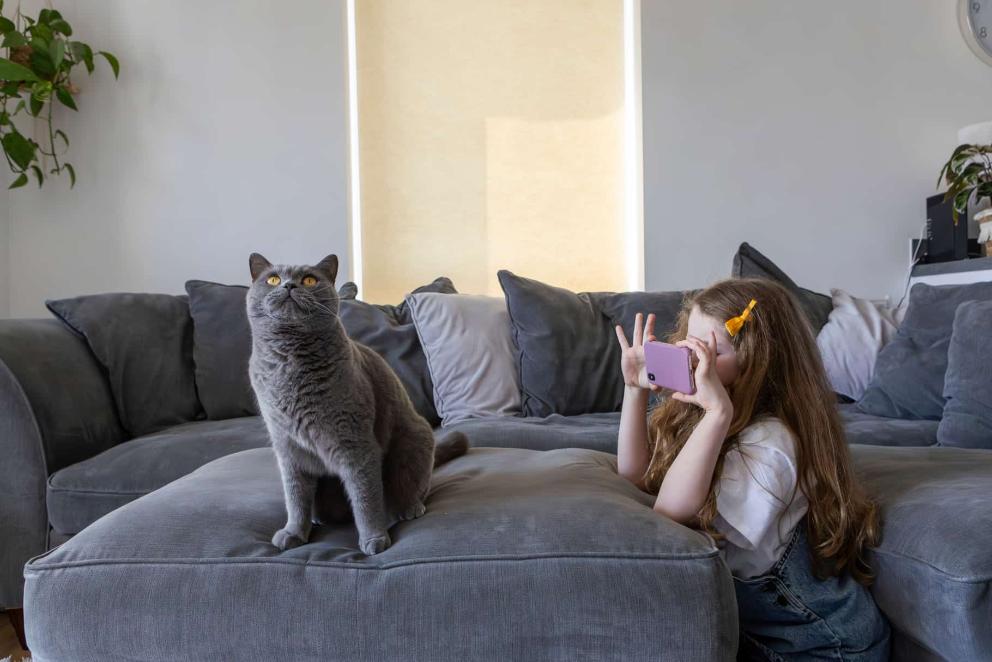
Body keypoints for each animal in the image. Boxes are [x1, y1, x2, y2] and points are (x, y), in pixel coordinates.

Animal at [246, 254, 466, 556]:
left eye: (310, 280)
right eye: (273, 279)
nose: (289, 285)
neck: (289, 367)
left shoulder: (355, 443)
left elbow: (365, 497)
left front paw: (374, 540)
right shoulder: (288, 448)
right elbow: (295, 497)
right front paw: (293, 533)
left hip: (413, 441)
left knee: (410, 486)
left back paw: (408, 508)